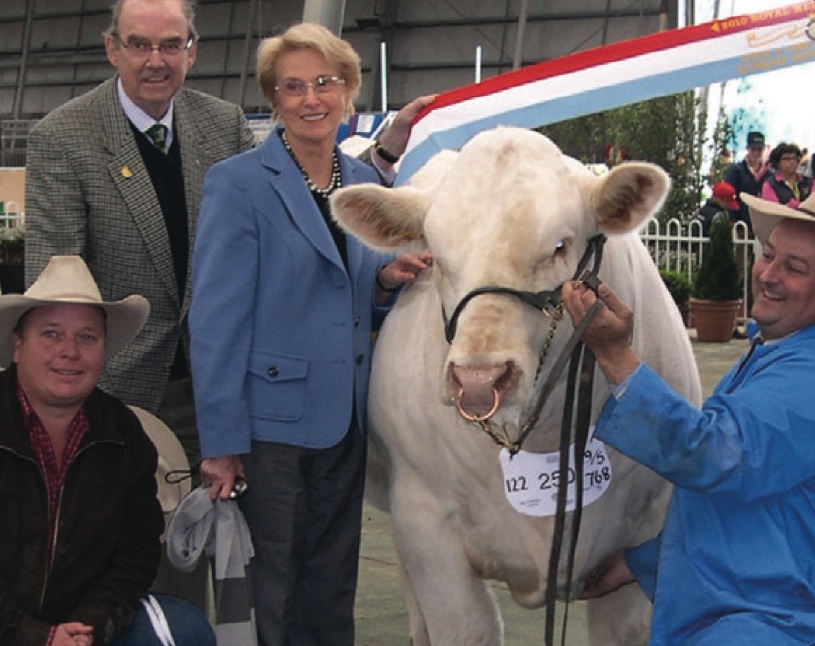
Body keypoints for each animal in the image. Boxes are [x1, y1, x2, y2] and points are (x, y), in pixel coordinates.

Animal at [330, 128, 700, 646]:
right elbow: (464, 628)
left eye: (561, 245)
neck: (540, 436)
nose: (478, 380)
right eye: (435, 257)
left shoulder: (646, 534)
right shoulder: (426, 526)